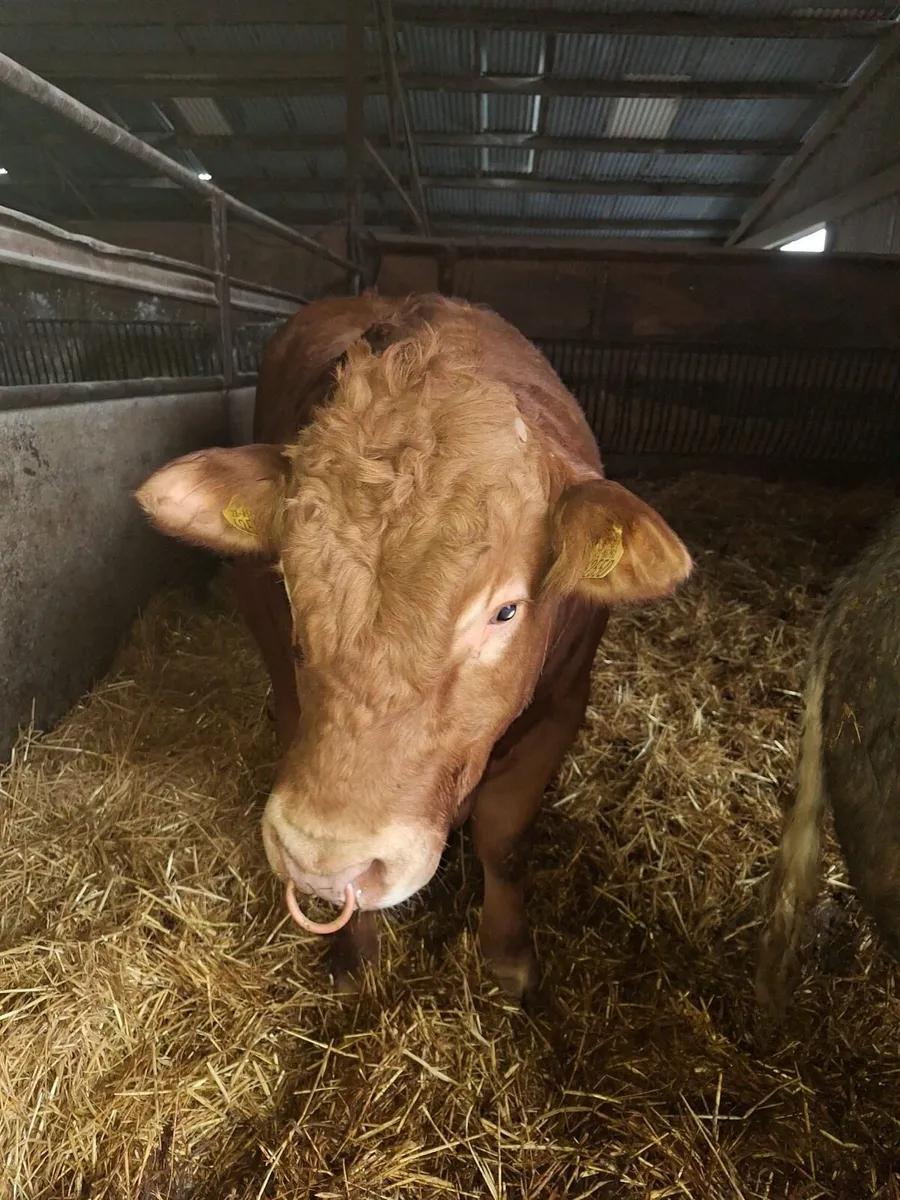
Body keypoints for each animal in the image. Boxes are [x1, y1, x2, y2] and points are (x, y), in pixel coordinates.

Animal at [135, 292, 693, 1004]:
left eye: (506, 611)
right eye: (286, 581)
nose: (324, 857)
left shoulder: (564, 705)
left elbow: (505, 838)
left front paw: (509, 958)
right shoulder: (288, 691)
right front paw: (355, 956)